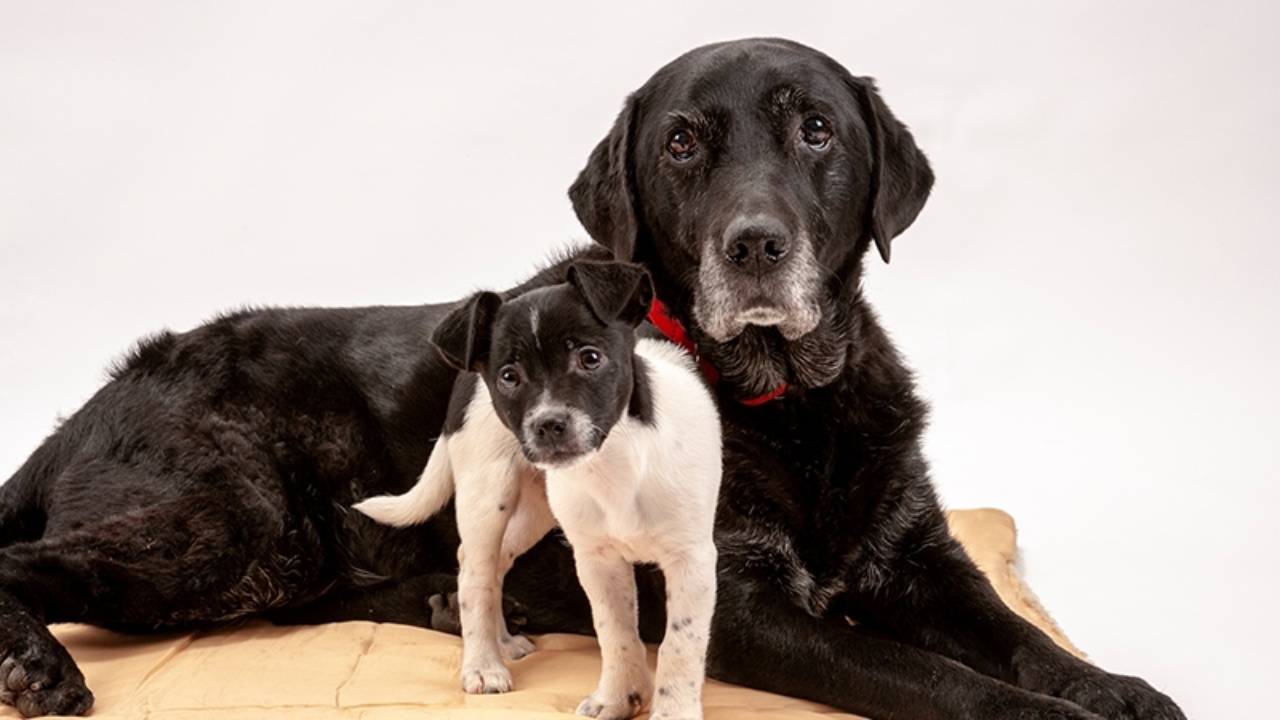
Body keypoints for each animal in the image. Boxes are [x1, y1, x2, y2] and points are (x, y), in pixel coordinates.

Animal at [355, 262, 727, 717]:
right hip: (487, 494)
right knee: (475, 573)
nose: (548, 425)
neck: (615, 464)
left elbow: (679, 643)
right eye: (509, 377)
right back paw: (483, 665)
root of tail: (464, 376)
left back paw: (502, 642)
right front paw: (618, 697)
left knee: (494, 563)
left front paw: (664, 708)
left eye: (590, 358)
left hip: (536, 509)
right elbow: (615, 633)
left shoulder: (690, 560)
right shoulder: (597, 560)